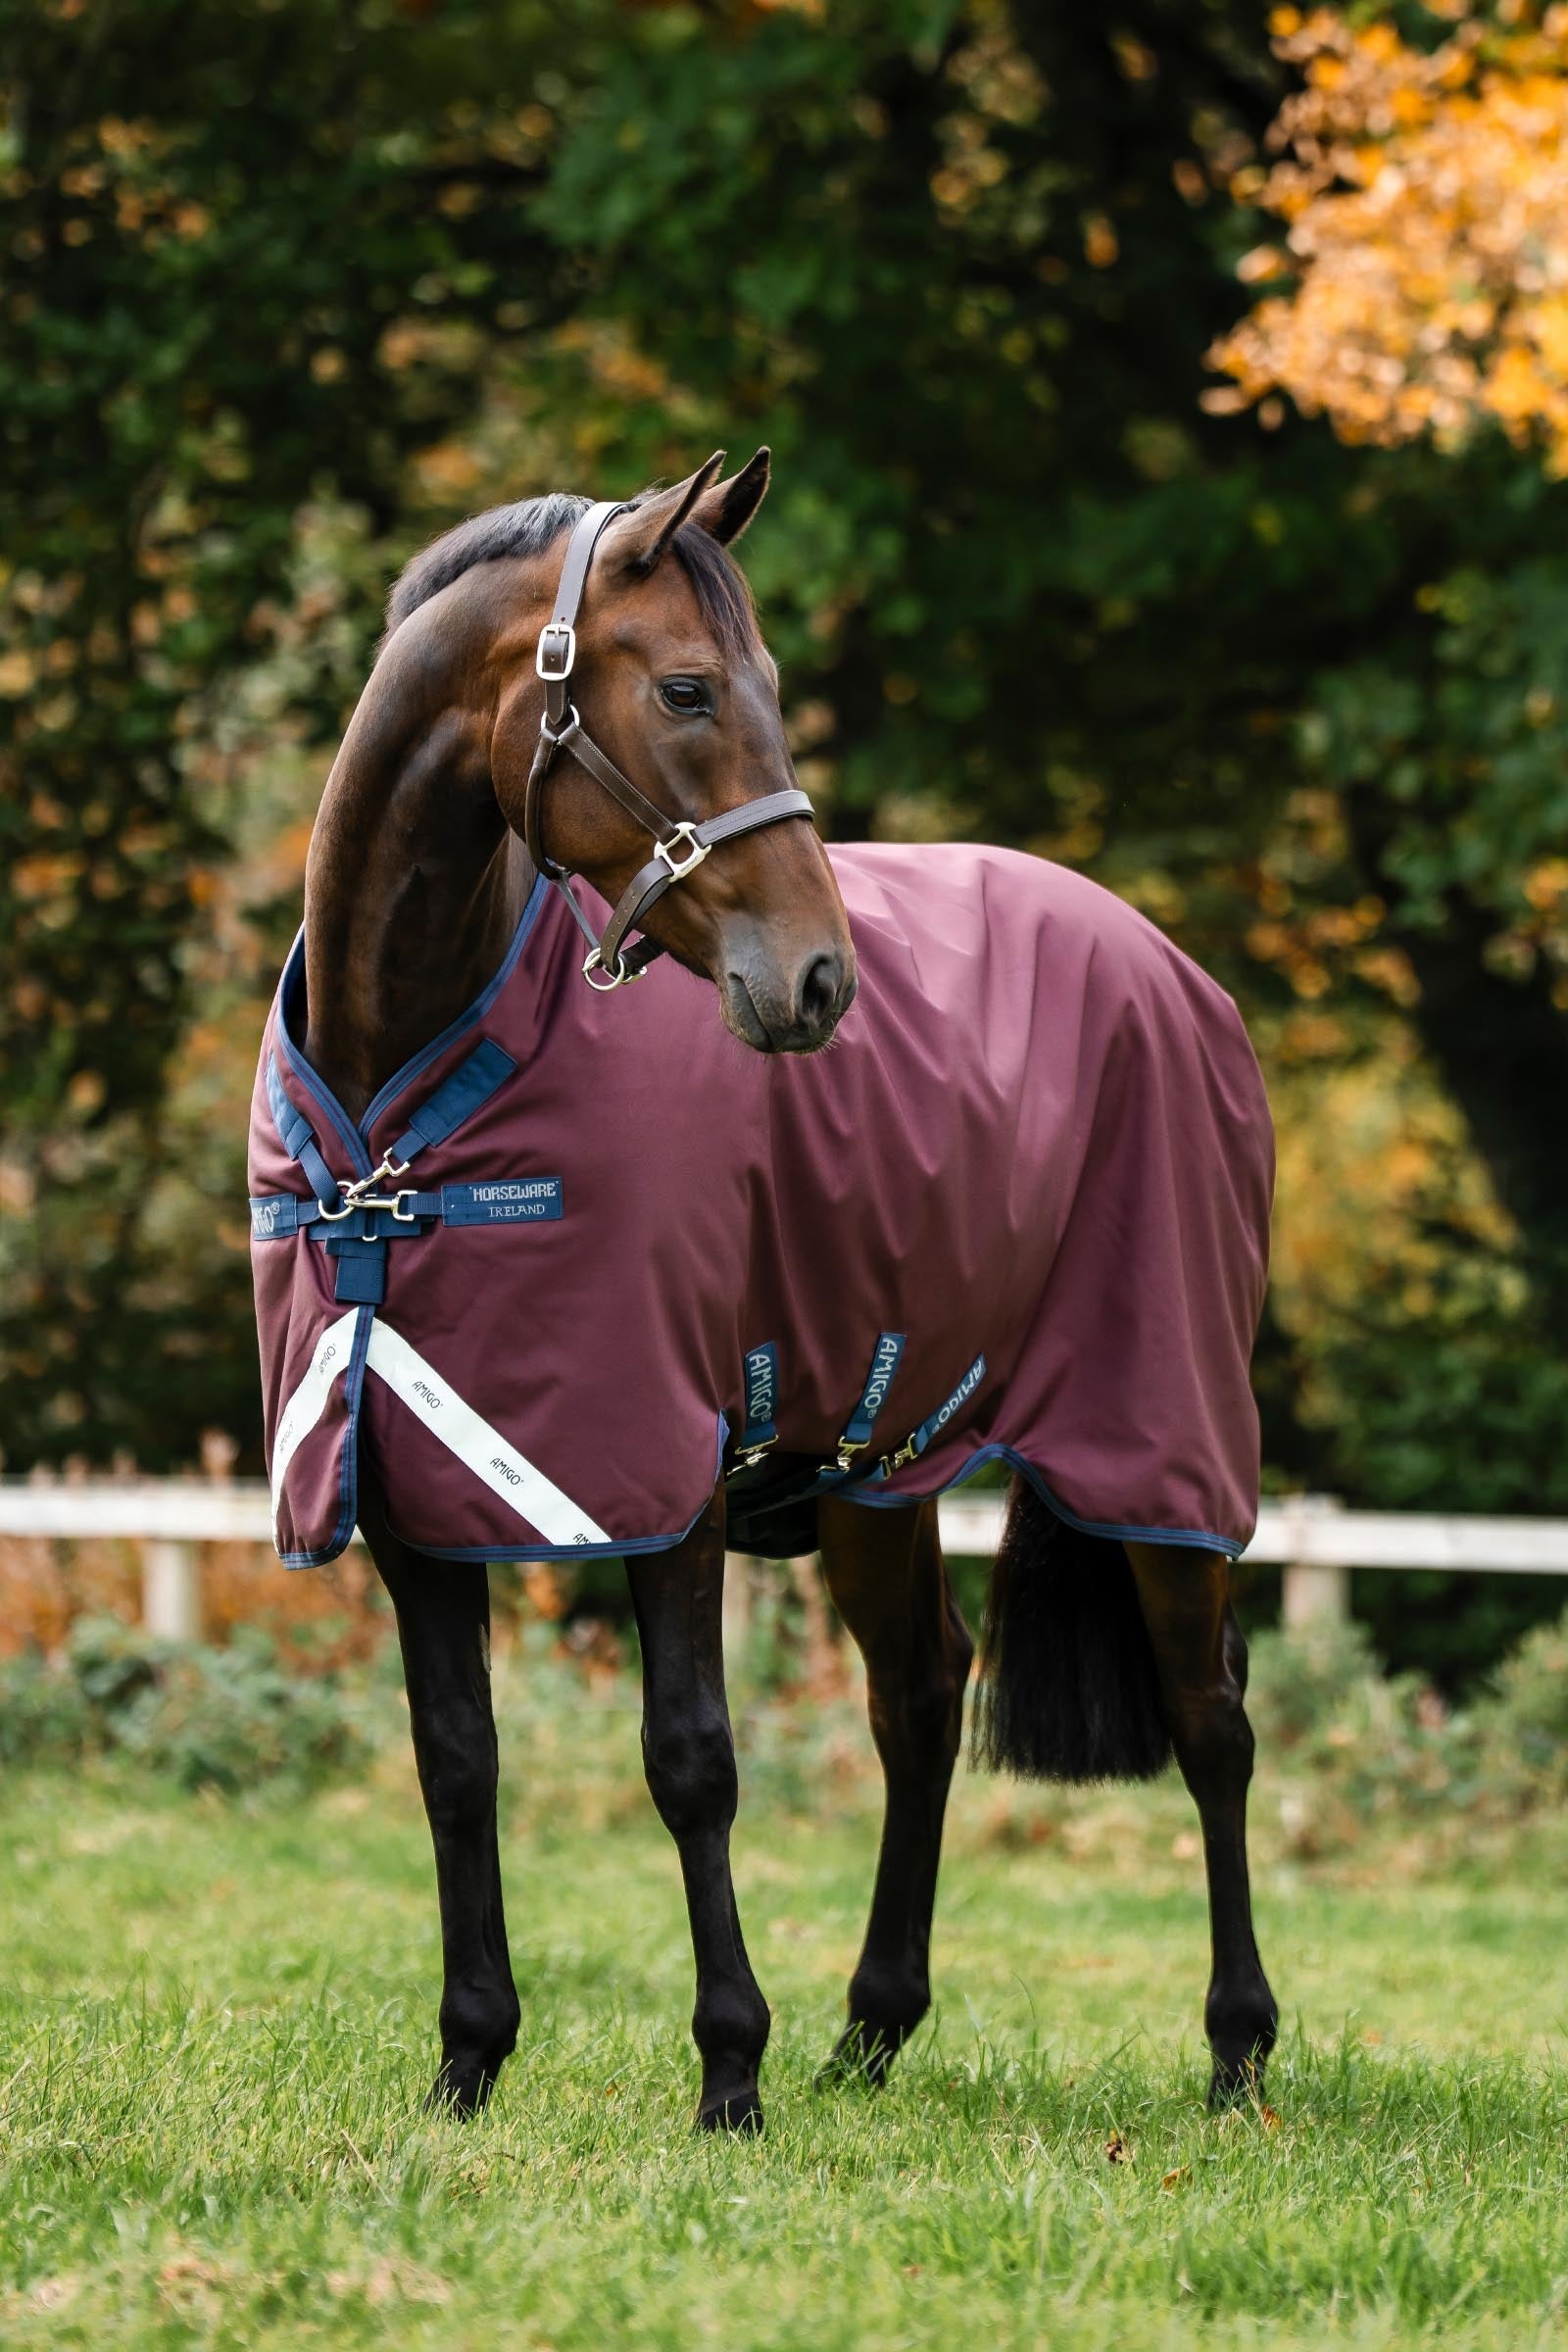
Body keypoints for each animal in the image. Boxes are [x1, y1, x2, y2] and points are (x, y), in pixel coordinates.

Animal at [247, 449, 1278, 2133]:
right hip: (879, 1462)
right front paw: (470, 2058)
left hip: (1160, 1436)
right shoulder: (406, 1483)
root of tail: (1166, 965)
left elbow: (691, 1759)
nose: (817, 982)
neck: (406, 1104)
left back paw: (1239, 2049)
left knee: (1212, 1722)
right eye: (684, 687)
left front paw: (729, 2065)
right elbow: (455, 1756)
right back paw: (873, 2028)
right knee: (920, 1696)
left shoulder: (660, 1474)